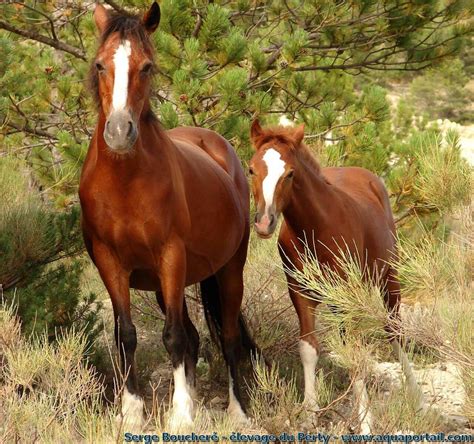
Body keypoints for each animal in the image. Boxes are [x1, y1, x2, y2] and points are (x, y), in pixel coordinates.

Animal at [79, 1, 256, 428]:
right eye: (100, 65)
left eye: (146, 66)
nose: (119, 132)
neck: (125, 182)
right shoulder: (110, 262)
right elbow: (126, 334)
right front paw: (132, 414)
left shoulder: (171, 257)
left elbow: (172, 337)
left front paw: (180, 418)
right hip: (165, 286)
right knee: (193, 337)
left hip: (228, 271)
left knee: (227, 338)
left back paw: (238, 411)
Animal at [248, 120, 422, 430]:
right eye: (251, 169)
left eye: (290, 173)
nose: (264, 223)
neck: (317, 226)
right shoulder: (300, 293)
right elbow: (309, 348)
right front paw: (309, 416)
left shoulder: (347, 296)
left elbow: (354, 351)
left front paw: (365, 423)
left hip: (389, 279)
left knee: (395, 332)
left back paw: (416, 397)